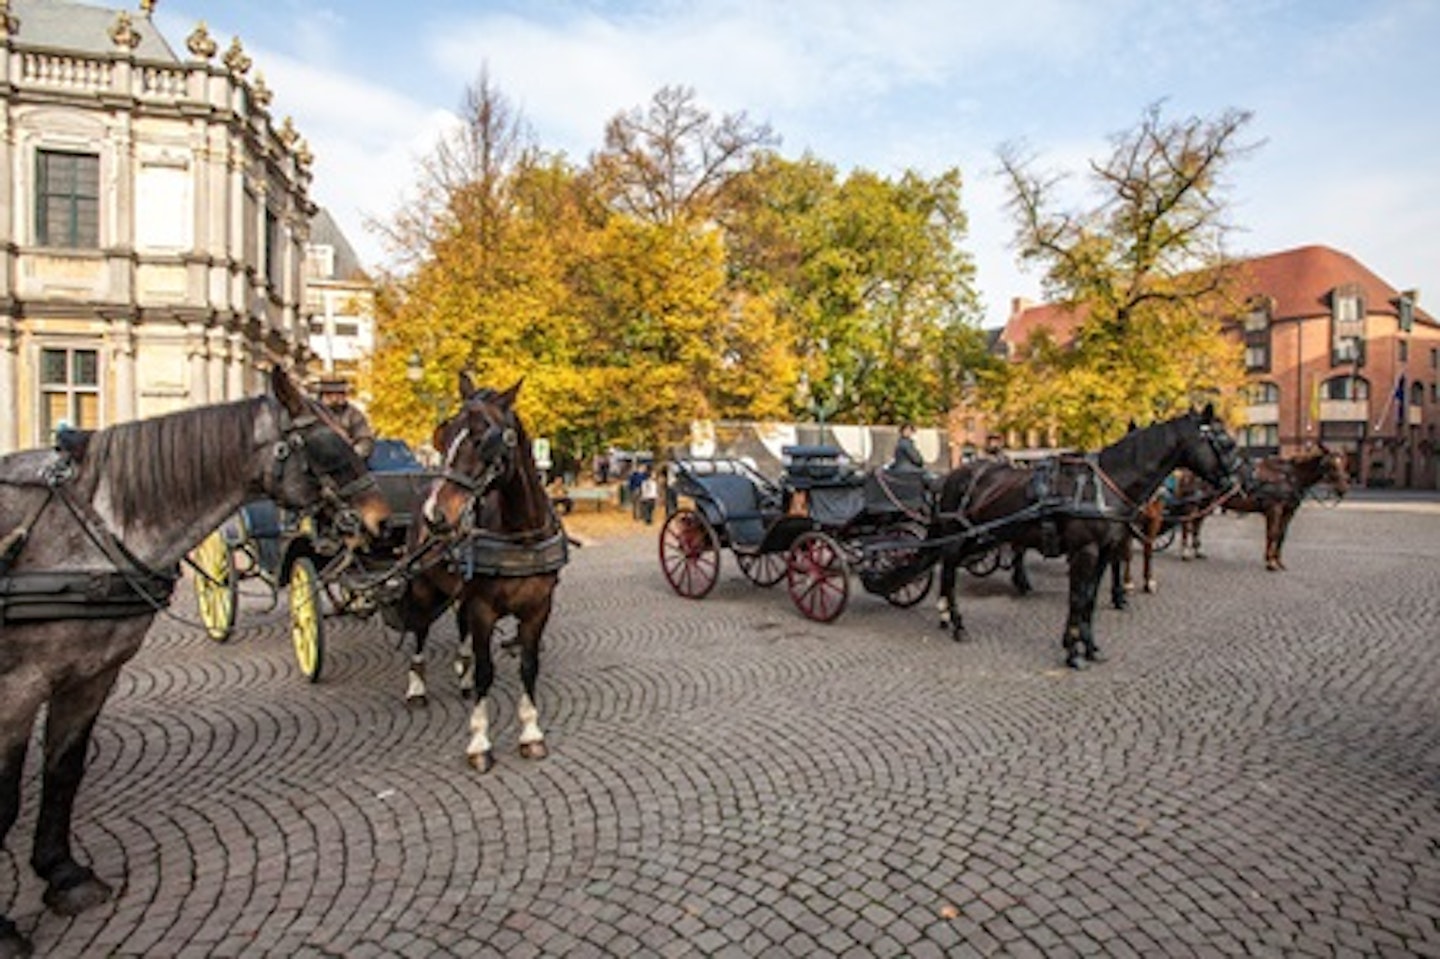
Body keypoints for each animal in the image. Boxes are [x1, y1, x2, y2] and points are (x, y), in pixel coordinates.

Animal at [0, 367, 388, 956]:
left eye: (353, 442)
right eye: (324, 447)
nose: (380, 521)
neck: (96, 527)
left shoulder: (91, 674)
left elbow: (64, 769)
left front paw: (65, 876)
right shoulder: (22, 683)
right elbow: (3, 793)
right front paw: (7, 926)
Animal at [388, 374, 567, 771]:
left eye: (484, 438)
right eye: (444, 435)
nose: (436, 515)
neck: (521, 535)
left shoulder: (538, 609)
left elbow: (528, 666)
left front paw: (531, 734)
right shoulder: (484, 607)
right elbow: (488, 671)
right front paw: (480, 741)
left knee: (460, 628)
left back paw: (463, 674)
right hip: (424, 588)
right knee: (419, 630)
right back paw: (416, 687)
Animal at [927, 406, 1244, 668]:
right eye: (1226, 442)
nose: (1238, 483)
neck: (1107, 486)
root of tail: (953, 474)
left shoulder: (1105, 551)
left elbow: (1090, 598)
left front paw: (1090, 647)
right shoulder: (1085, 551)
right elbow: (1078, 598)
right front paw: (1072, 651)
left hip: (977, 538)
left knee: (948, 568)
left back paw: (946, 616)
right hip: (957, 537)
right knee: (949, 573)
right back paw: (956, 623)